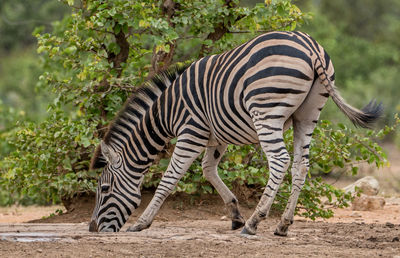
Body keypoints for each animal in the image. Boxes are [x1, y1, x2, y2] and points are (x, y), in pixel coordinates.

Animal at [89, 31, 382, 235]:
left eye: (104, 188)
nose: (92, 229)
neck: (166, 111)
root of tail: (310, 46)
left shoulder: (191, 131)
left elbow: (170, 178)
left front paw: (142, 222)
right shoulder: (216, 136)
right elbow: (208, 170)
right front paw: (234, 214)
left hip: (266, 111)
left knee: (280, 161)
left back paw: (254, 223)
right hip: (307, 115)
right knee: (301, 165)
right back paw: (283, 225)